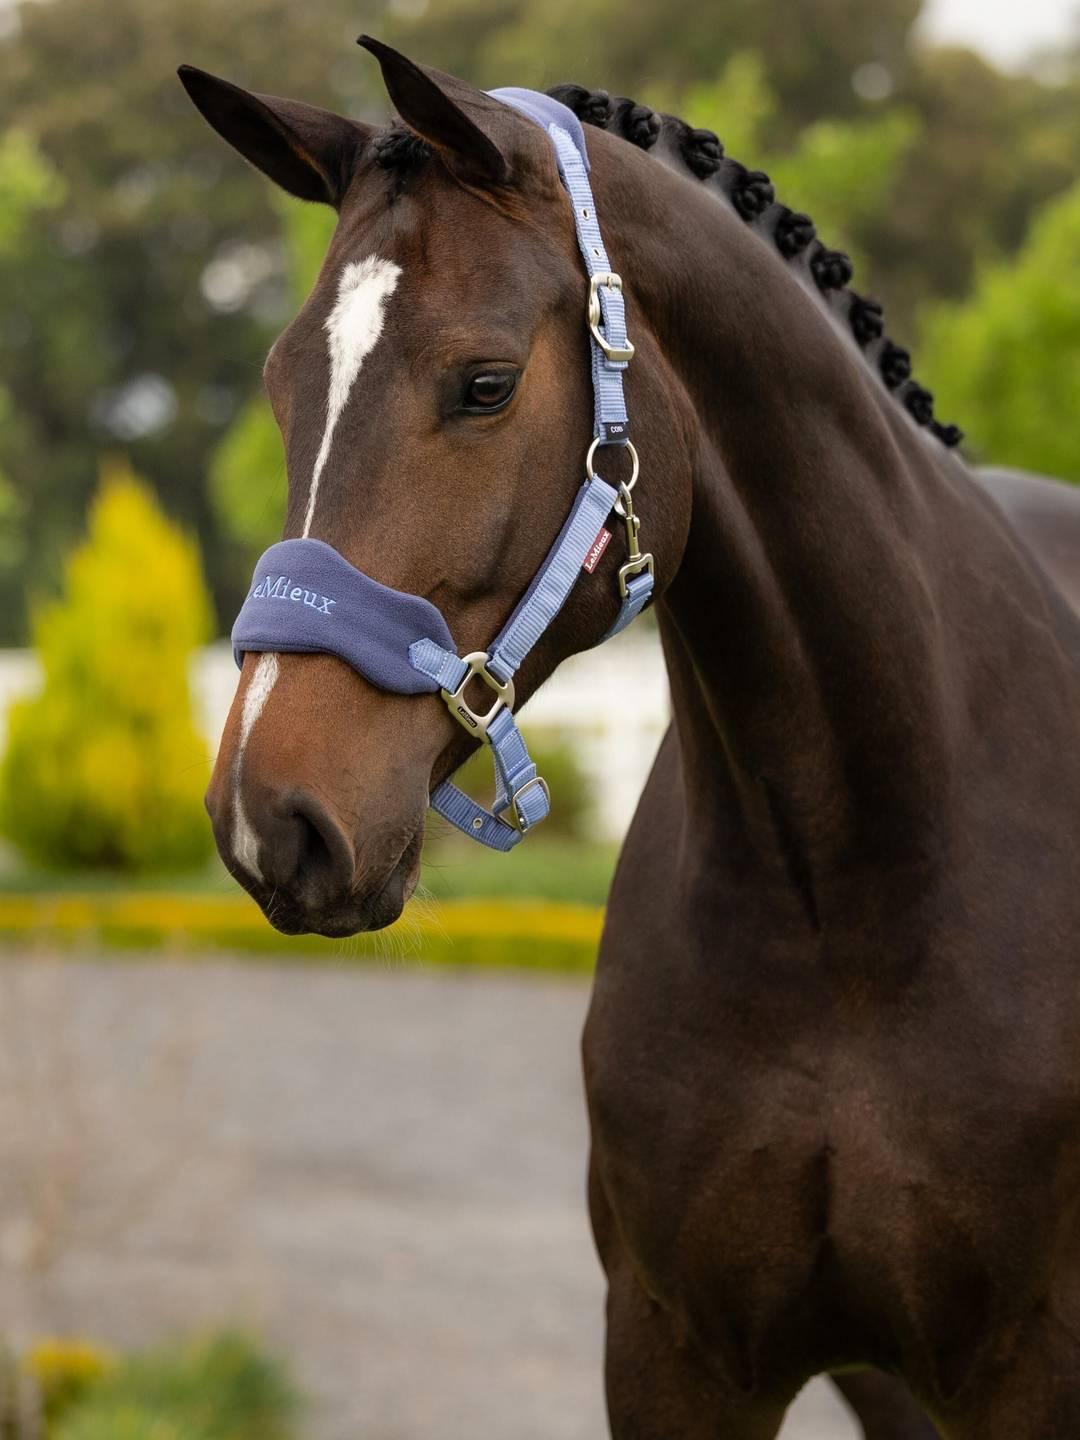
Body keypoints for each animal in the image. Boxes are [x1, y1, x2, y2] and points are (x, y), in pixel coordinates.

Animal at [181, 40, 1080, 1438]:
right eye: (284, 387)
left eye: (485, 384)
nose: (271, 816)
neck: (858, 886)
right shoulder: (675, 1355)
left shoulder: (1028, 1372)